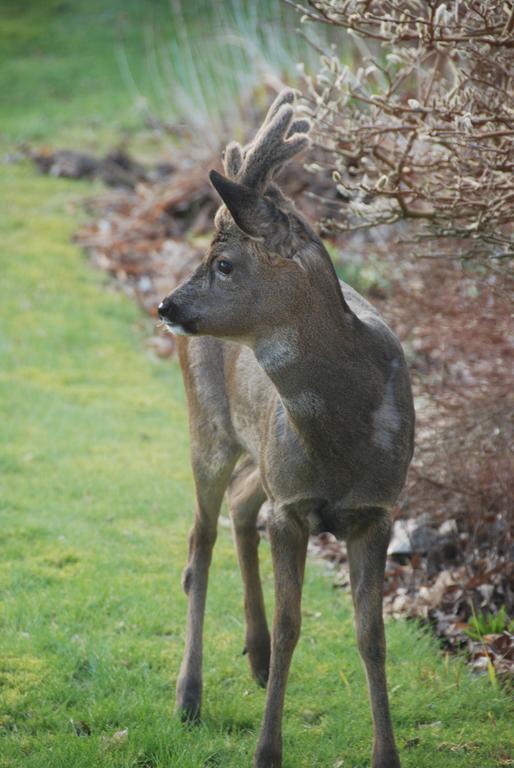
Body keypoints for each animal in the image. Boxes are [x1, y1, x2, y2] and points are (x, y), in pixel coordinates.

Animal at [158, 91, 414, 768]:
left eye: (223, 263)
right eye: (206, 258)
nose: (165, 305)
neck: (342, 441)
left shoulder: (377, 509)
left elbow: (371, 635)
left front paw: (386, 754)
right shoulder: (294, 505)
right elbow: (293, 623)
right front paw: (267, 751)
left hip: (262, 454)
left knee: (243, 503)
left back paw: (254, 655)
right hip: (207, 427)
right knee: (200, 541)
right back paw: (189, 696)